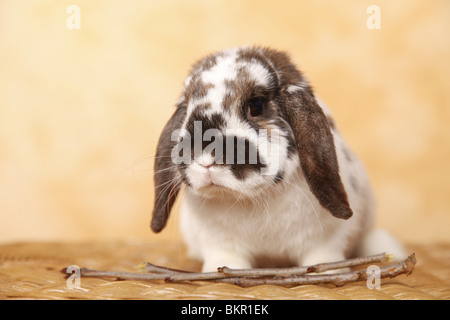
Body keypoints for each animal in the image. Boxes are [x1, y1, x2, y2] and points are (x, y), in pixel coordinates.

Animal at [149, 46, 406, 272]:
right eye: (185, 109)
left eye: (256, 105)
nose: (205, 160)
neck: (249, 201)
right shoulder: (219, 243)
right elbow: (225, 259)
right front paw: (217, 270)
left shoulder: (325, 239)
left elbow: (322, 255)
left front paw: (329, 269)